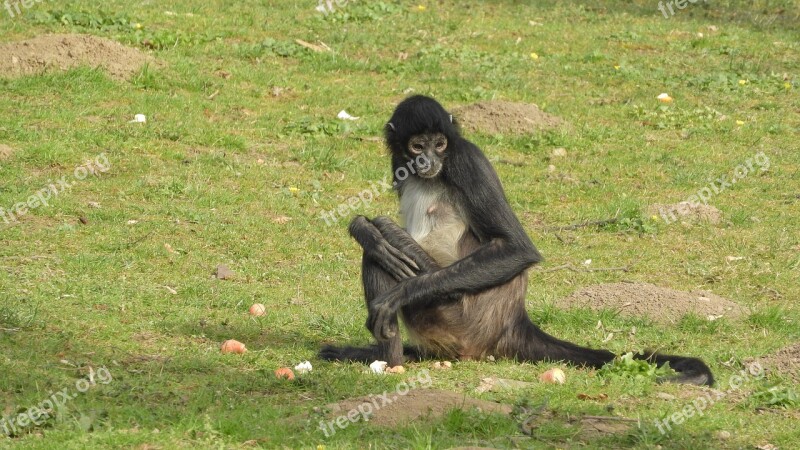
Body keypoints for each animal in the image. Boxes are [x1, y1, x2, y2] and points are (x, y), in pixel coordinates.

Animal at [322, 93, 716, 384]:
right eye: (418, 146)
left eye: (440, 144)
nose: (429, 161)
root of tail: (513, 321)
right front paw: (359, 225)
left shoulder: (466, 160)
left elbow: (517, 250)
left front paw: (394, 286)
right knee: (379, 249)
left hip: (455, 315)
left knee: (383, 248)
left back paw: (390, 361)